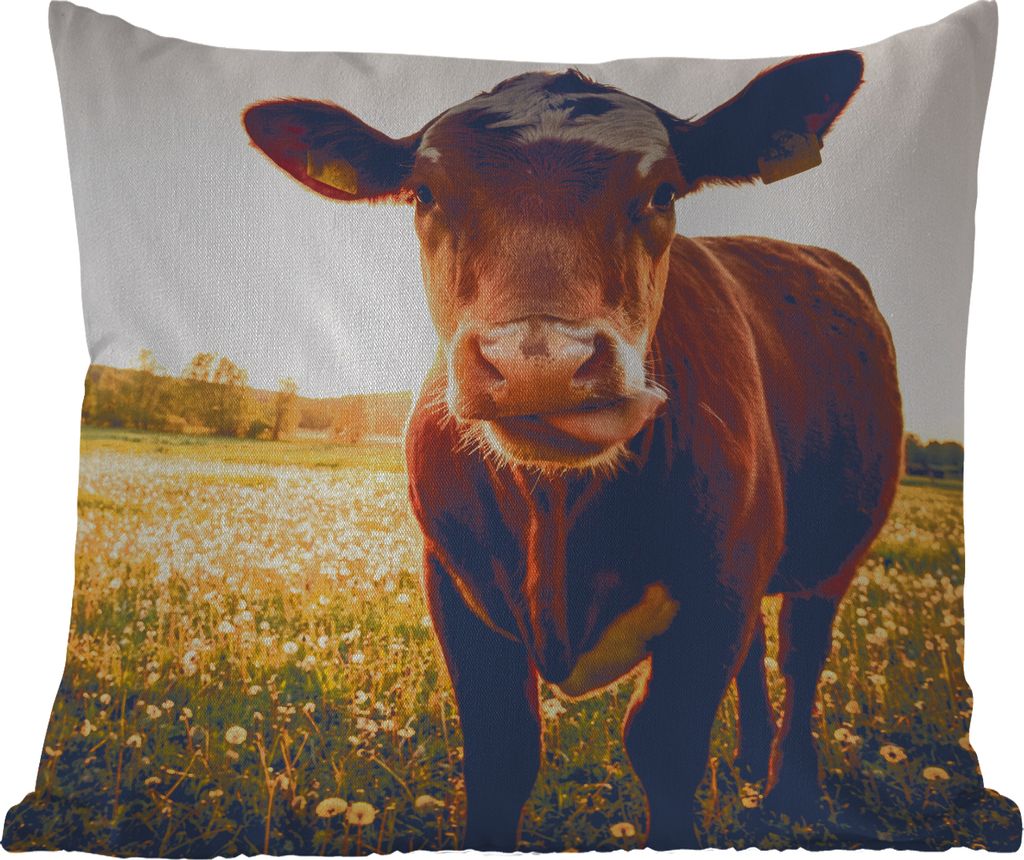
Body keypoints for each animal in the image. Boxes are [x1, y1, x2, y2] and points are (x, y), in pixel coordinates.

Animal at [243, 51, 903, 850]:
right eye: (425, 192)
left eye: (663, 191)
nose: (541, 363)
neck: (556, 510)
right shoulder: (454, 586)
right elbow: (502, 753)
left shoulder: (718, 586)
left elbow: (665, 746)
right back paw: (750, 758)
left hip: (832, 552)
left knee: (803, 653)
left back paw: (792, 789)